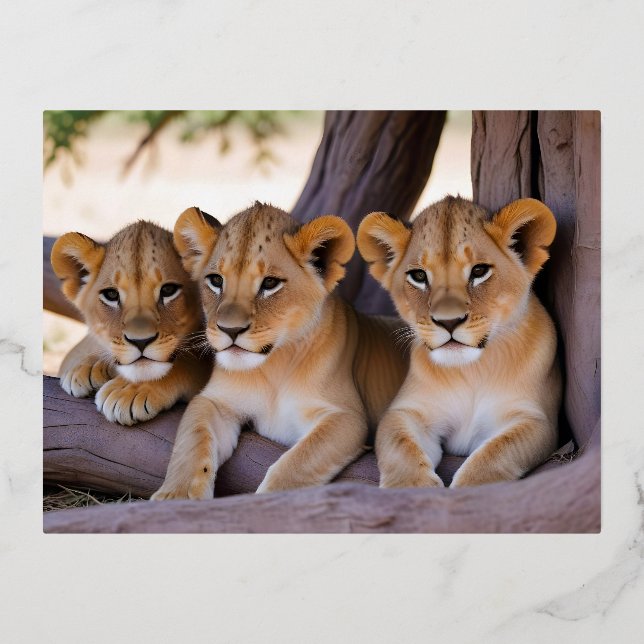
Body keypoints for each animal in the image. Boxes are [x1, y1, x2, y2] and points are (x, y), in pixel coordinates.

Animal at [50, 220, 212, 426]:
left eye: (168, 290)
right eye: (111, 295)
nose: (140, 341)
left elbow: (186, 363)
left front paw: (126, 392)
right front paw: (88, 366)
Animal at [151, 202, 408, 499]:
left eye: (270, 284)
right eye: (215, 280)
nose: (229, 330)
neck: (275, 365)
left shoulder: (347, 417)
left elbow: (296, 464)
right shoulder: (214, 402)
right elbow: (192, 442)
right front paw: (177, 496)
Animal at [356, 196, 562, 488]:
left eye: (479, 271)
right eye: (419, 276)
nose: (449, 321)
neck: (472, 371)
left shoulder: (536, 420)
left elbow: (497, 453)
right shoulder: (407, 412)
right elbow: (401, 447)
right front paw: (411, 489)